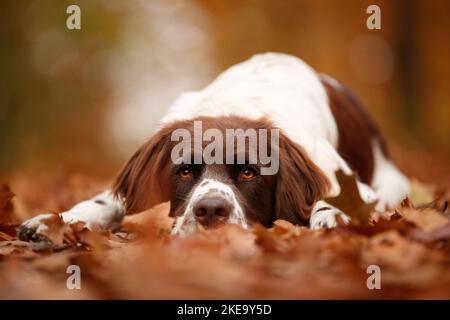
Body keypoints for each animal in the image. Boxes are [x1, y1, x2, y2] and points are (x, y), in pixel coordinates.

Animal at [19, 52, 410, 239]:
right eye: (184, 171)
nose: (209, 211)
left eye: (250, 173)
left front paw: (331, 217)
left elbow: (334, 198)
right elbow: (106, 202)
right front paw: (55, 220)